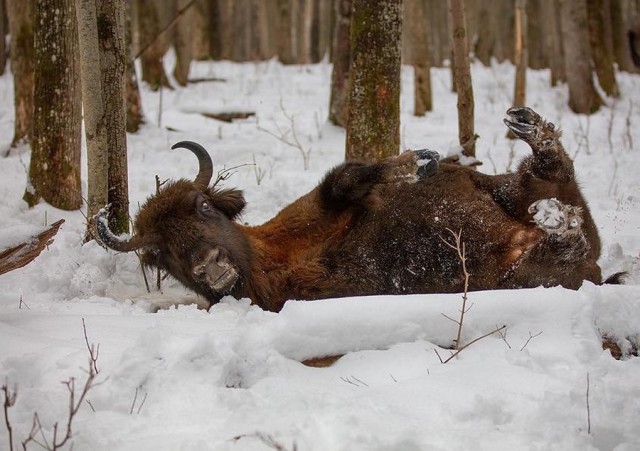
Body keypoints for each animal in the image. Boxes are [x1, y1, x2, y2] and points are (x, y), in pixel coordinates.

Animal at [92, 107, 616, 312]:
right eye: (158, 252)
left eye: (202, 205)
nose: (209, 265)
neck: (271, 253)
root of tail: (595, 265)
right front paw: (416, 162)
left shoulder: (316, 207)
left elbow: (343, 180)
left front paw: (419, 162)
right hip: (522, 272)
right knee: (565, 238)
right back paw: (556, 220)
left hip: (512, 189)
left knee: (550, 173)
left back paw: (528, 128)